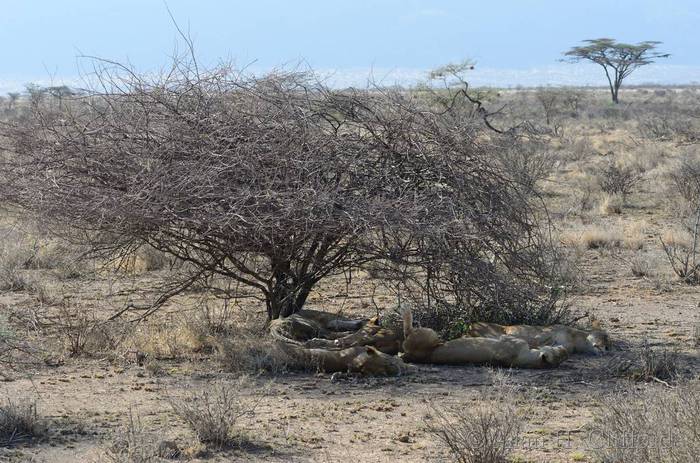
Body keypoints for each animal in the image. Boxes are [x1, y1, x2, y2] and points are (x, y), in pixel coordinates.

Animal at [400, 308, 569, 369]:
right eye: (559, 353)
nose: (564, 348)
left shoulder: (509, 340)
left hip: (430, 335)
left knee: (408, 331)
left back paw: (406, 309)